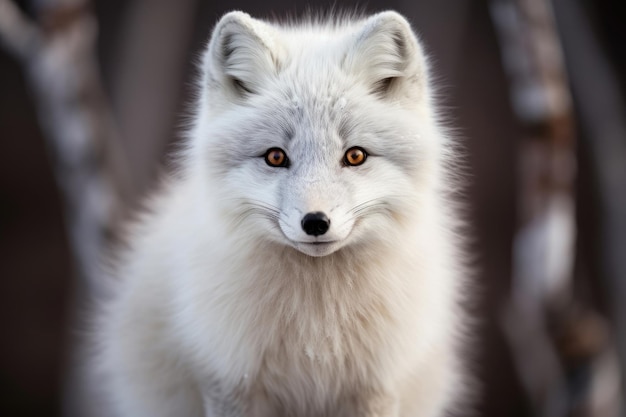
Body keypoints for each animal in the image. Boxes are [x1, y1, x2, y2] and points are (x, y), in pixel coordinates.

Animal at [95, 9, 468, 416]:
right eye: (275, 157)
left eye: (355, 155)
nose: (316, 222)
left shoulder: (375, 388)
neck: (317, 327)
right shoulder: (230, 382)